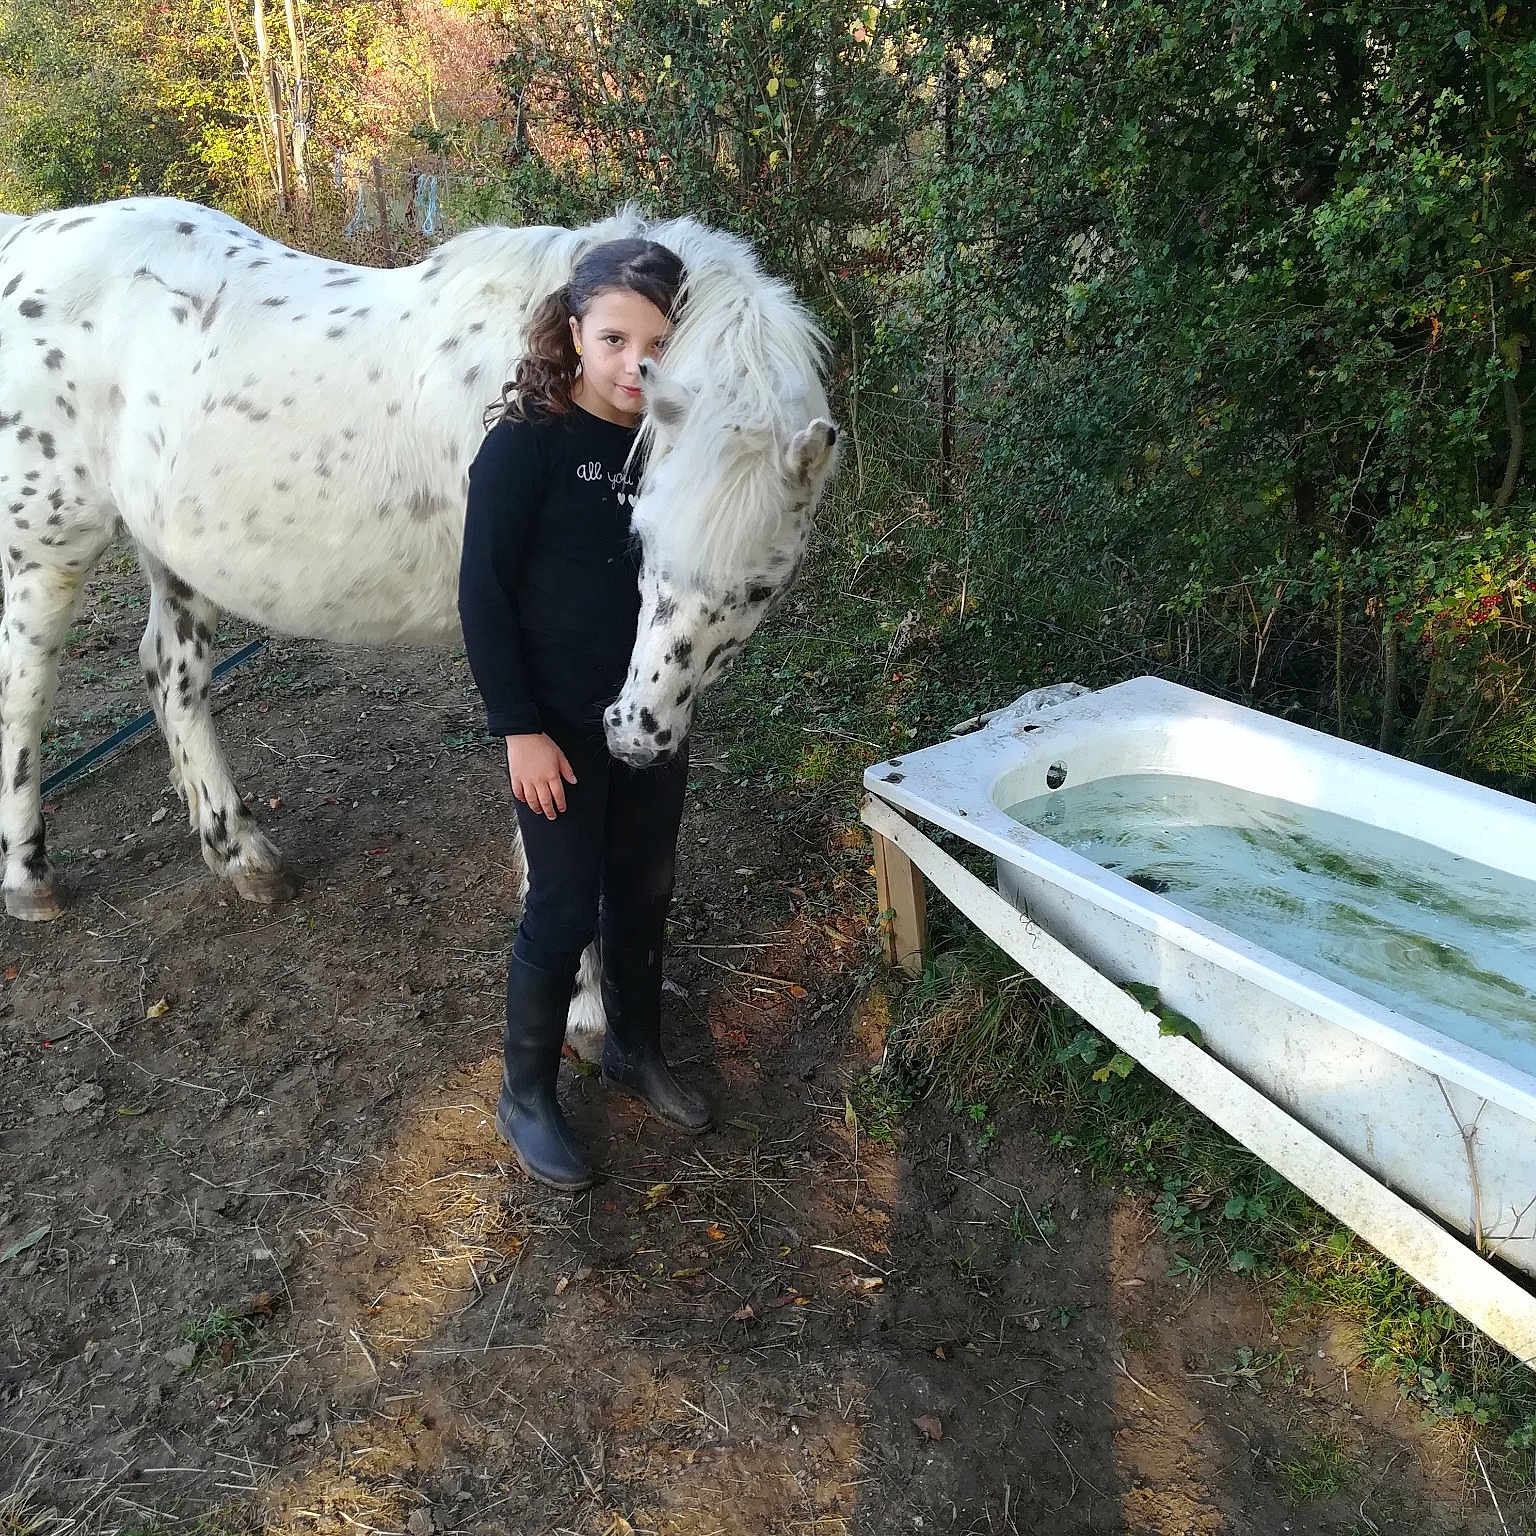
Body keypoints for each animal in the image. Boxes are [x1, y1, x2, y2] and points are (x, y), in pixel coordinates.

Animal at [0, 197, 839, 1050]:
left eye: (760, 587)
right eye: (643, 543)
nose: (639, 736)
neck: (548, 390)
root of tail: (26, 239)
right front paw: (584, 1007)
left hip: (174, 557)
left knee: (172, 677)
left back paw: (240, 855)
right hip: (45, 552)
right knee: (24, 696)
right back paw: (29, 878)